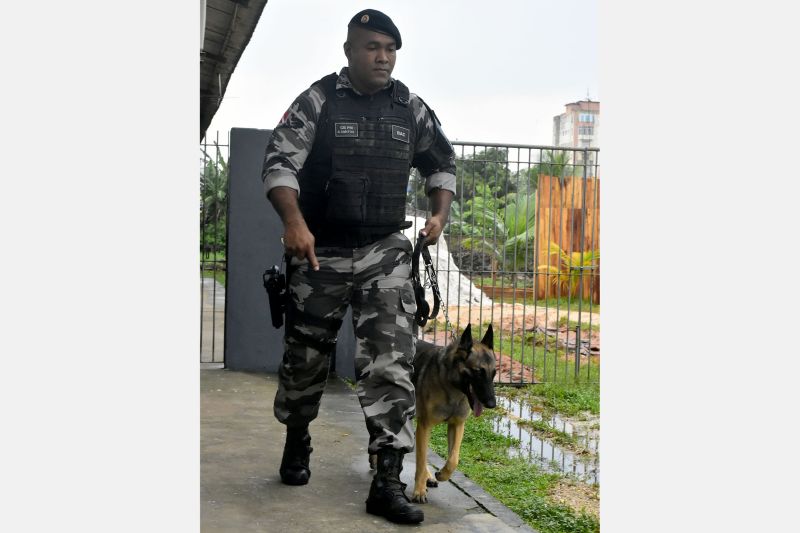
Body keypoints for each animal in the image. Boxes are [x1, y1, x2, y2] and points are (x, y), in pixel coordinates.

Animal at [410, 322, 496, 500]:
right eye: (478, 372)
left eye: (494, 373)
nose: (492, 404)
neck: (453, 389)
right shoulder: (425, 426)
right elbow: (420, 459)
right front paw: (419, 490)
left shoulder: (456, 426)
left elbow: (453, 459)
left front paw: (442, 474)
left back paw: (429, 476)